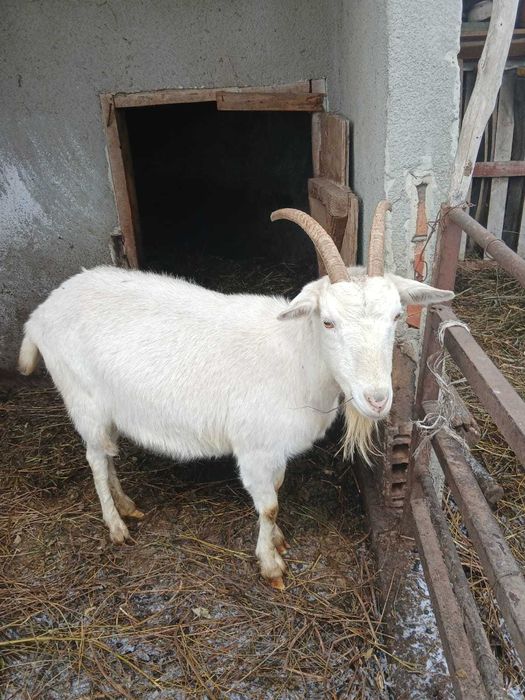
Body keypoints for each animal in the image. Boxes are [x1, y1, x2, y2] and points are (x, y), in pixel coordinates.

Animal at [19, 203, 453, 589]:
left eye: (397, 315)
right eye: (328, 321)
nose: (377, 399)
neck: (294, 357)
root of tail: (40, 313)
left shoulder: (275, 449)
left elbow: (277, 491)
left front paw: (277, 542)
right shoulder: (254, 449)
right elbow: (269, 505)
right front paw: (271, 565)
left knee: (107, 454)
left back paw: (128, 506)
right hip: (82, 398)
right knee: (95, 458)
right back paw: (116, 526)